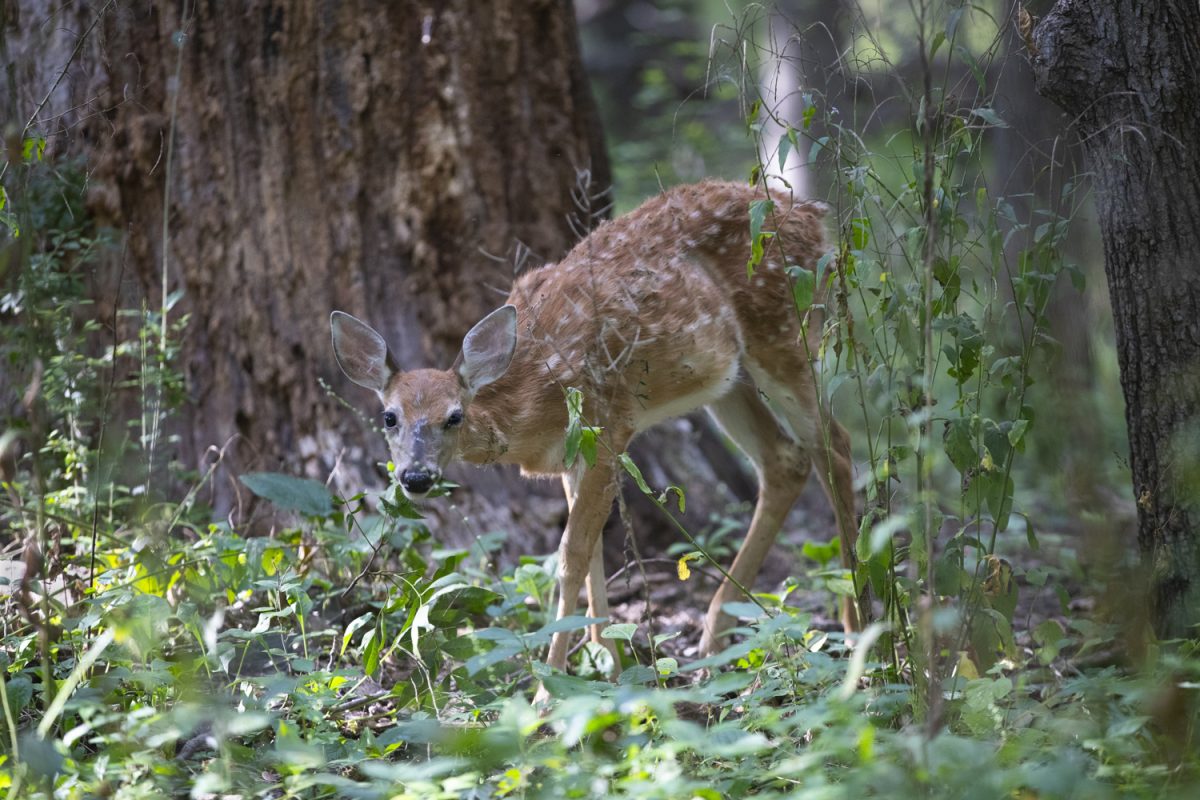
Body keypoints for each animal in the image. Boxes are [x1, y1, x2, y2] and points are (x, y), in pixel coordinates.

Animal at [330, 179, 866, 696]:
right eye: (390, 417)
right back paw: (715, 640)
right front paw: (606, 657)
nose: (416, 477)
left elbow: (570, 555)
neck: (533, 399)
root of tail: (811, 212)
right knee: (785, 459)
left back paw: (856, 622)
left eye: (454, 417)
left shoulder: (609, 425)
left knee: (835, 446)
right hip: (727, 379)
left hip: (784, 328)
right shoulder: (573, 453)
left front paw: (549, 688)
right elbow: (592, 553)